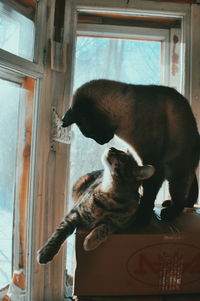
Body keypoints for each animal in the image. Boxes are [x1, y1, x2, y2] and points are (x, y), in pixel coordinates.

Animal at [62, 79, 200, 223]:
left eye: (89, 133)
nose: (102, 142)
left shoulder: (154, 163)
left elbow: (148, 194)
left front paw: (141, 217)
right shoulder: (137, 157)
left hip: (177, 171)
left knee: (180, 197)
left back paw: (170, 212)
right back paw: (174, 203)